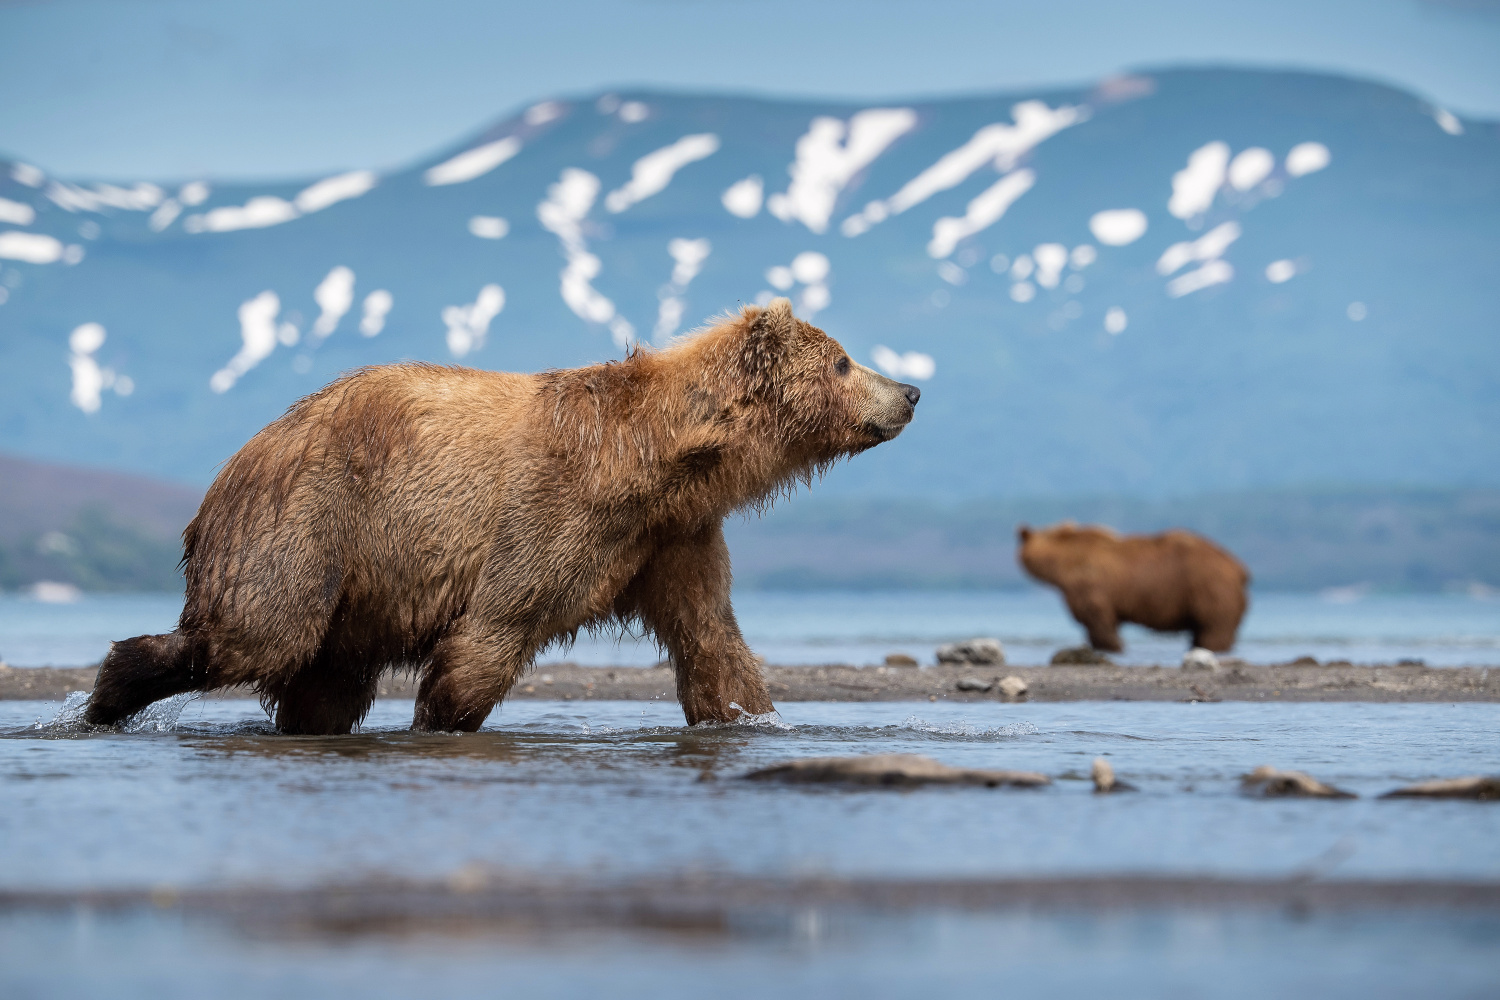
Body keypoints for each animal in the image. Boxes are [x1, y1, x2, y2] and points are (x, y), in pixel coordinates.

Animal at [87, 296, 918, 734]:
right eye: (843, 360)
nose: (909, 391)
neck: (662, 459)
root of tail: (242, 456)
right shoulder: (557, 510)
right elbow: (497, 625)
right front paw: (442, 719)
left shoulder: (671, 539)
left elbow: (712, 637)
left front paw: (751, 716)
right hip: (307, 522)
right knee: (258, 635)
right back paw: (107, 695)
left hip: (352, 583)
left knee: (323, 680)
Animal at [1014, 524, 1248, 656]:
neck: (1063, 564)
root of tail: (1238, 567)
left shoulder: (1090, 585)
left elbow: (1098, 619)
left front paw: (1112, 646)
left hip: (1209, 588)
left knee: (1215, 628)